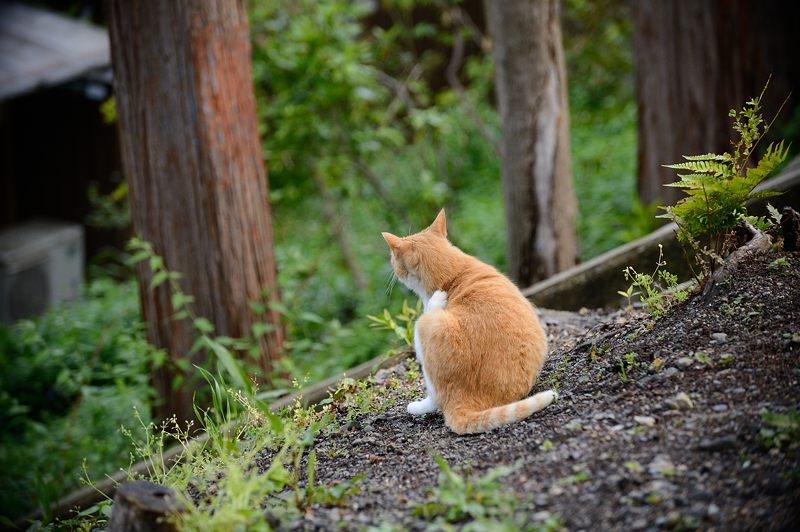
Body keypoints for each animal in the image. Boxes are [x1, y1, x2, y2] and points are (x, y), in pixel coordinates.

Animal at [382, 208, 556, 432]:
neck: (452, 273)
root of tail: (463, 399)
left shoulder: (429, 313)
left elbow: (431, 306)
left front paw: (438, 298)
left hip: (426, 326)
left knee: (436, 397)